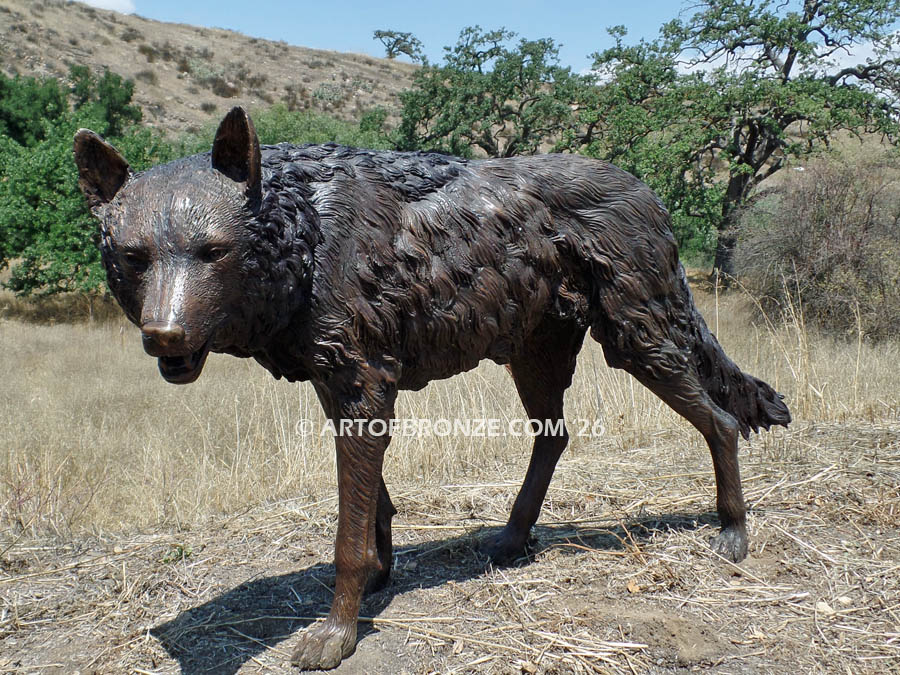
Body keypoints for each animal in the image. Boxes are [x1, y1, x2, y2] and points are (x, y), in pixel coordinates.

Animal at [74, 107, 790, 670]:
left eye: (212, 252)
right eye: (135, 257)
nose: (163, 335)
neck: (305, 232)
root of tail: (647, 192)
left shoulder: (364, 385)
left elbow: (347, 534)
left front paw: (337, 632)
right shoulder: (343, 384)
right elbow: (372, 508)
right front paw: (379, 574)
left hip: (638, 339)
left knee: (721, 420)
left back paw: (732, 534)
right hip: (538, 355)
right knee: (556, 438)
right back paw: (511, 539)